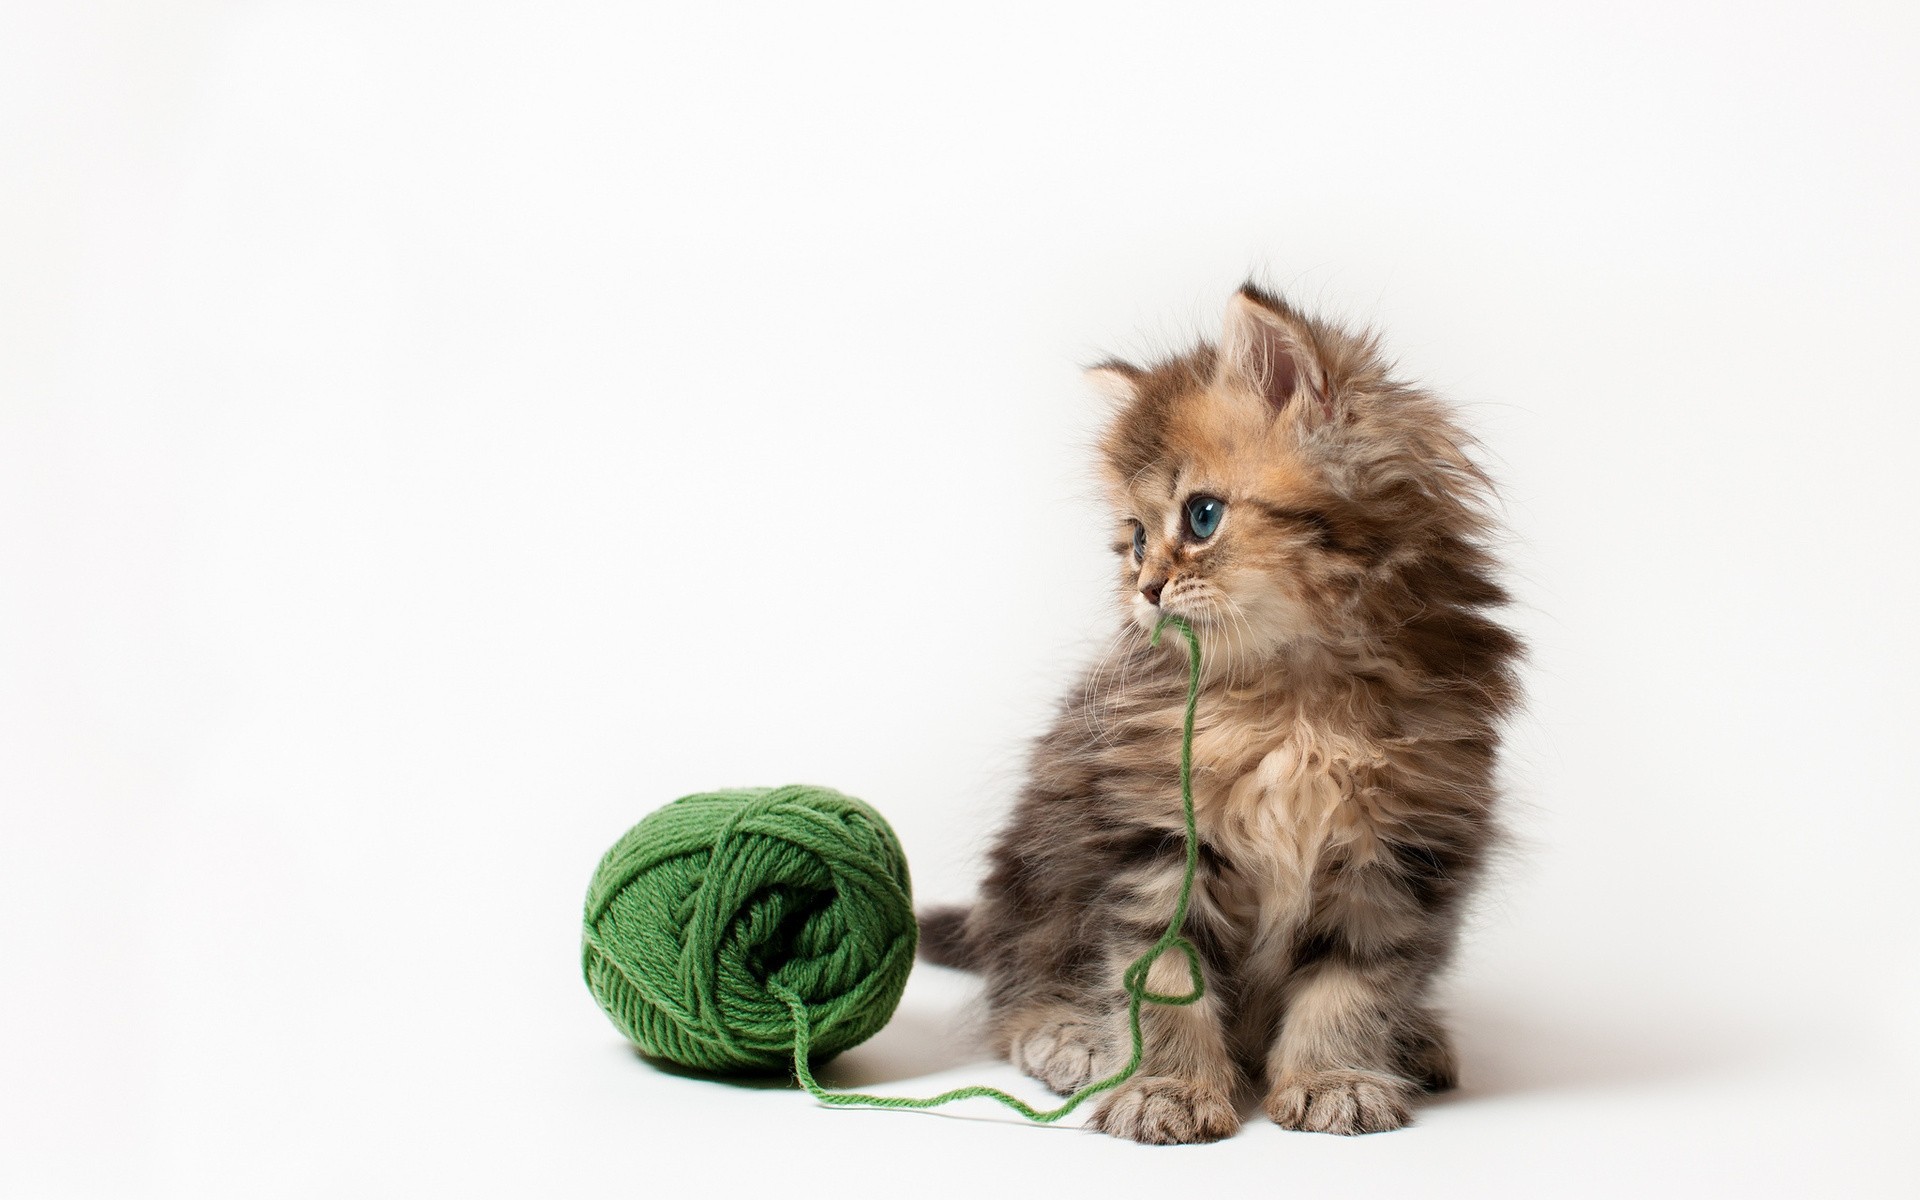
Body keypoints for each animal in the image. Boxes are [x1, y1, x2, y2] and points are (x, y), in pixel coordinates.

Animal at [921, 280, 1520, 1144]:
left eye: (1201, 517)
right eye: (1135, 540)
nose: (1145, 591)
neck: (1295, 707)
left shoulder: (1400, 848)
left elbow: (1353, 983)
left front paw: (1335, 1078)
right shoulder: (1155, 841)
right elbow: (1162, 982)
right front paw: (1166, 1091)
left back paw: (1414, 1039)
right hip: (1032, 877)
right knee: (1017, 982)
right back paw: (1068, 1037)